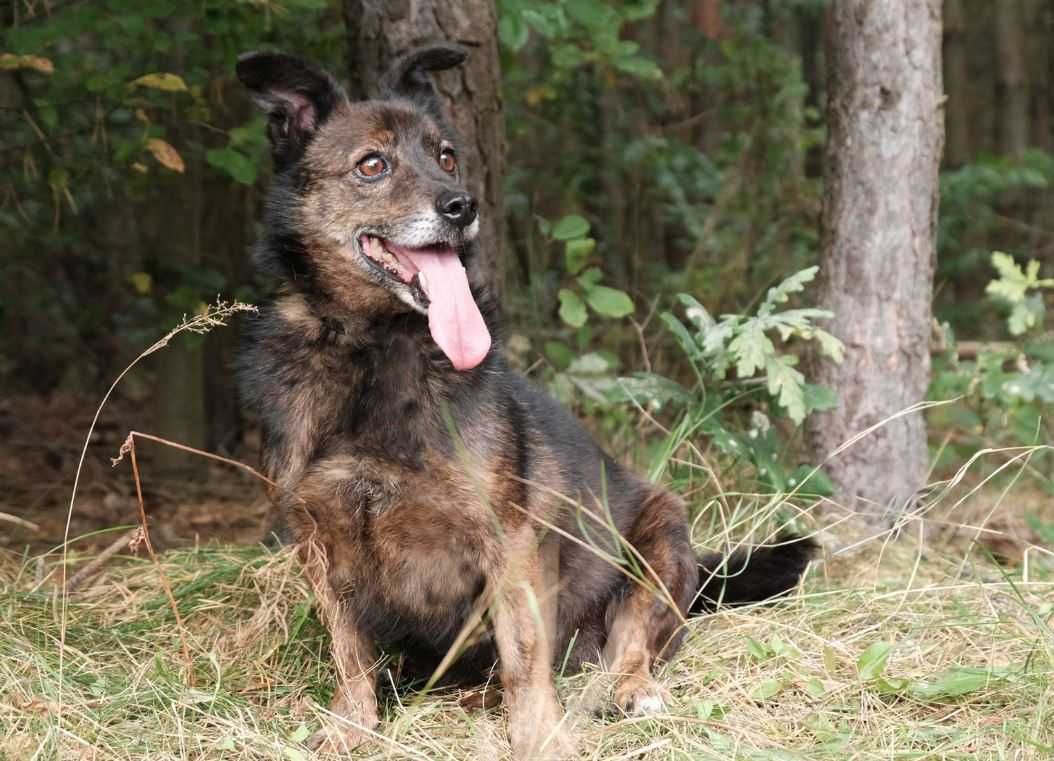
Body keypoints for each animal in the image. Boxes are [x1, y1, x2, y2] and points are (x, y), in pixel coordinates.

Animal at [237, 45, 813, 754]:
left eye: (447, 155)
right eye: (372, 165)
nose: (462, 206)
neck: (376, 352)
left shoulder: (508, 540)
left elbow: (525, 655)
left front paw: (540, 737)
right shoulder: (318, 541)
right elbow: (349, 651)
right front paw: (352, 726)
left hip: (659, 541)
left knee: (632, 642)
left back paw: (631, 689)